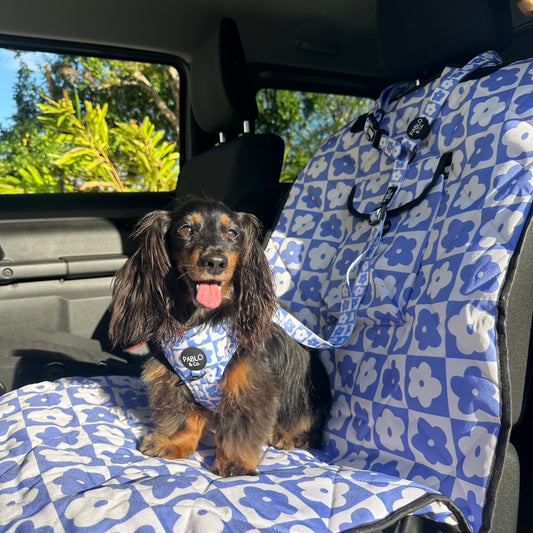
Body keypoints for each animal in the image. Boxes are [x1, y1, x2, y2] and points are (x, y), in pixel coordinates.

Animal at [109, 197, 330, 476]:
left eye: (232, 233)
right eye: (185, 229)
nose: (215, 262)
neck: (203, 318)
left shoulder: (249, 382)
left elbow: (238, 427)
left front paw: (235, 463)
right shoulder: (175, 376)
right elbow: (185, 418)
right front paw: (173, 443)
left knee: (308, 422)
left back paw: (288, 434)